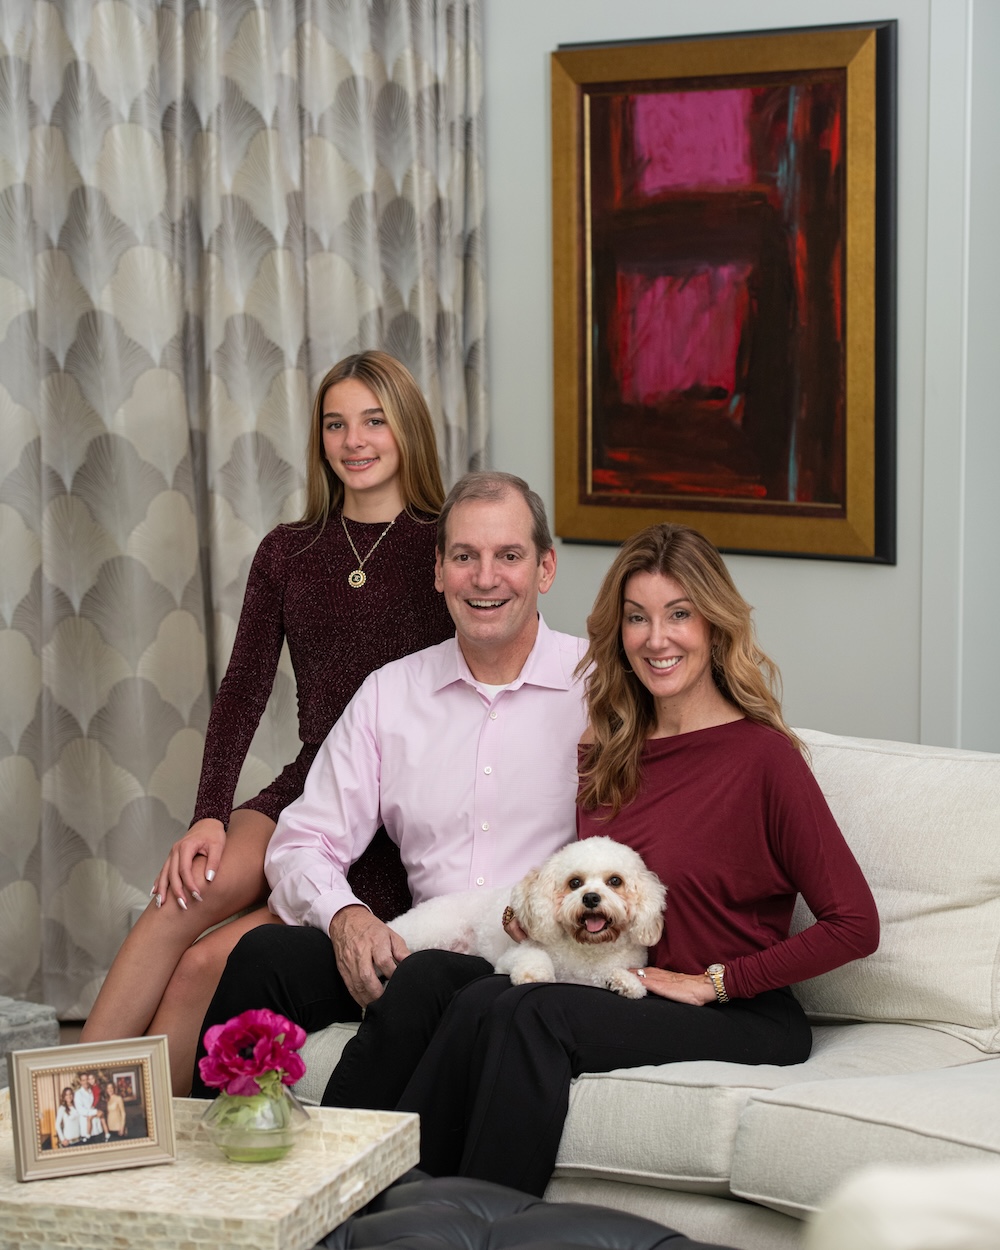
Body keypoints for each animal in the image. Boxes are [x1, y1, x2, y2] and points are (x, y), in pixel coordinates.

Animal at [389, 837, 666, 998]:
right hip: (428, 931)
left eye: (615, 881)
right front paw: (534, 975)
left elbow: (615, 972)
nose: (590, 898)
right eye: (575, 882)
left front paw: (626, 982)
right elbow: (532, 956)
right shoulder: (512, 955)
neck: (587, 947)